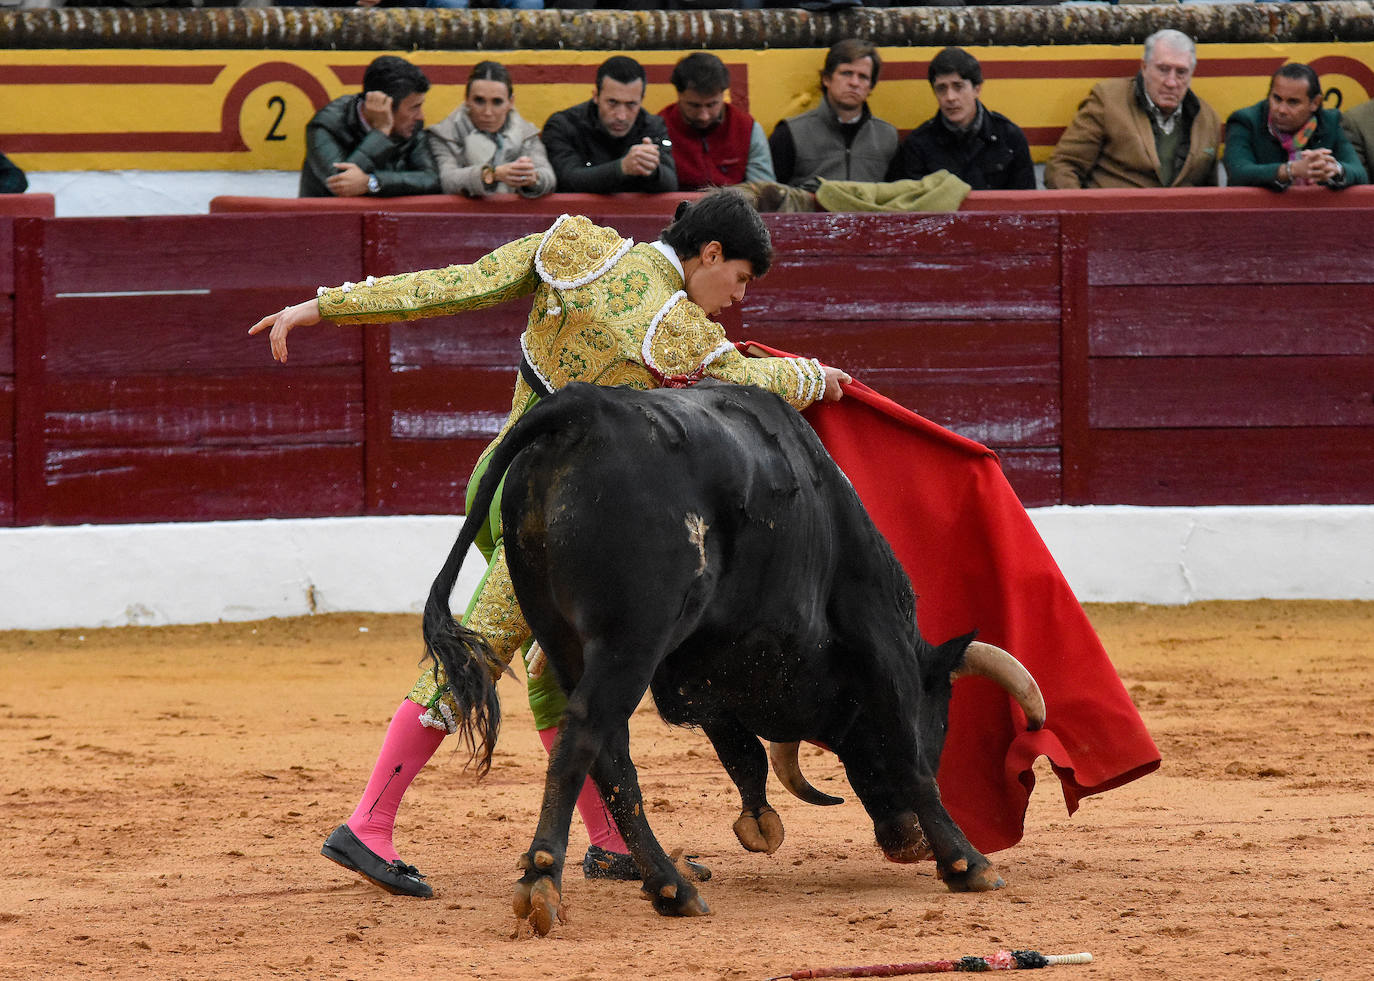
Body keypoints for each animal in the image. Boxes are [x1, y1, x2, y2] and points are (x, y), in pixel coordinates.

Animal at [417, 379, 1038, 934]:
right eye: (944, 723)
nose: (905, 841)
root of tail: (584, 411)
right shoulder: (879, 645)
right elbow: (908, 756)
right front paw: (967, 863)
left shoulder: (710, 673)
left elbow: (743, 749)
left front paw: (759, 822)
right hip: (630, 640)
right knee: (585, 737)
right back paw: (544, 880)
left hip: (562, 639)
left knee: (611, 758)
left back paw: (672, 888)